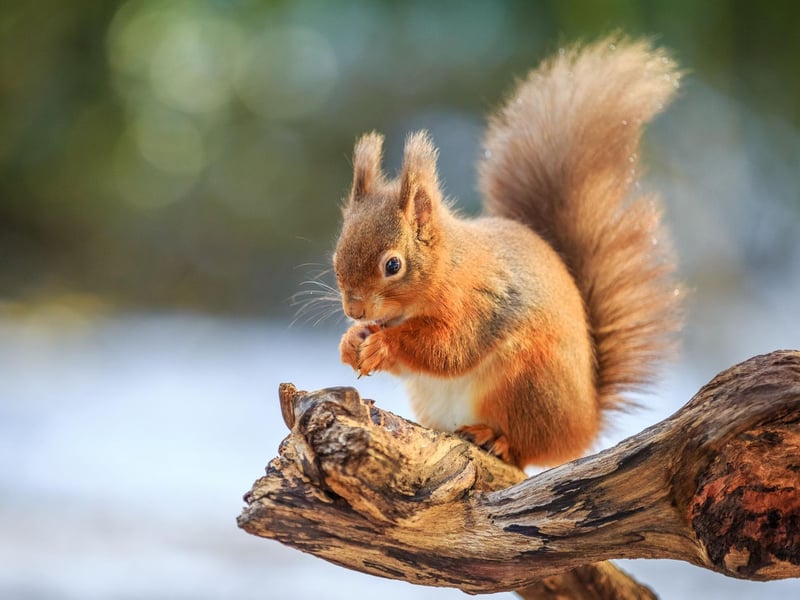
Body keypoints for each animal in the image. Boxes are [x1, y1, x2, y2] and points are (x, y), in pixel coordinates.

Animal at [332, 38, 683, 468]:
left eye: (393, 265)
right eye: (336, 257)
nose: (355, 310)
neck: (448, 268)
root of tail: (583, 426)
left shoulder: (481, 305)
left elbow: (448, 349)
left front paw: (384, 344)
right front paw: (352, 341)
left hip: (526, 385)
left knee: (523, 447)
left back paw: (494, 438)